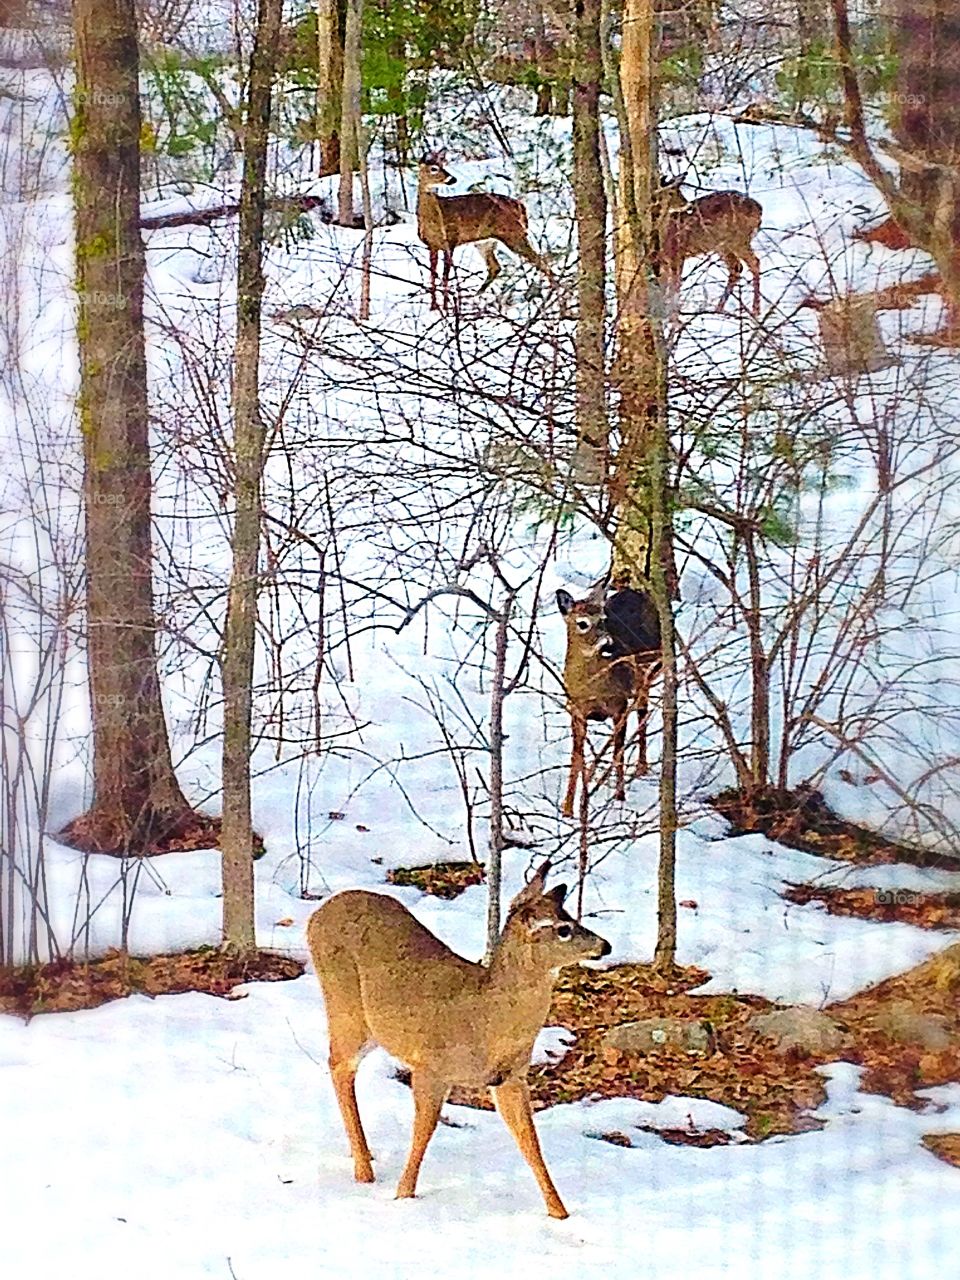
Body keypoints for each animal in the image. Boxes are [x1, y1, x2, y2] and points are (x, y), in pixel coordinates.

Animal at [307, 861, 610, 1219]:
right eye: (563, 928)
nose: (605, 946)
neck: (486, 1025)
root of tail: (316, 915)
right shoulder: (430, 1067)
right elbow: (424, 1131)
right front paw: (403, 1195)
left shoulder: (511, 1077)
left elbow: (529, 1139)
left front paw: (559, 1212)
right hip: (346, 1006)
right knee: (339, 1065)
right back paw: (364, 1171)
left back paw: (365, 1157)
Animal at [417, 155, 554, 310]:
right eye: (434, 168)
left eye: (442, 165)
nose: (452, 179)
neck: (435, 217)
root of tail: (521, 206)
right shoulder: (431, 245)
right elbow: (432, 274)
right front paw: (433, 306)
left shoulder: (451, 241)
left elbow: (446, 274)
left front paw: (446, 307)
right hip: (485, 242)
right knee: (495, 267)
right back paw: (478, 296)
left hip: (514, 234)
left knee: (541, 260)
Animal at [556, 580, 662, 819]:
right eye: (582, 623)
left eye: (604, 619)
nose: (609, 645)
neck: (592, 688)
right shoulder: (576, 710)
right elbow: (576, 756)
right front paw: (567, 808)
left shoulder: (619, 706)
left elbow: (617, 752)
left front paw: (620, 797)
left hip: (646, 672)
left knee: (643, 713)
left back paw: (642, 767)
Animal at [657, 177, 763, 317]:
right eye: (670, 192)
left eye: (678, 190)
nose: (689, 206)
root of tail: (759, 209)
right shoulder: (664, 260)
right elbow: (664, 286)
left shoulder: (678, 254)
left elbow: (675, 285)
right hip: (723, 245)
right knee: (737, 267)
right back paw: (718, 309)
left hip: (739, 239)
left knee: (754, 262)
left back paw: (755, 310)